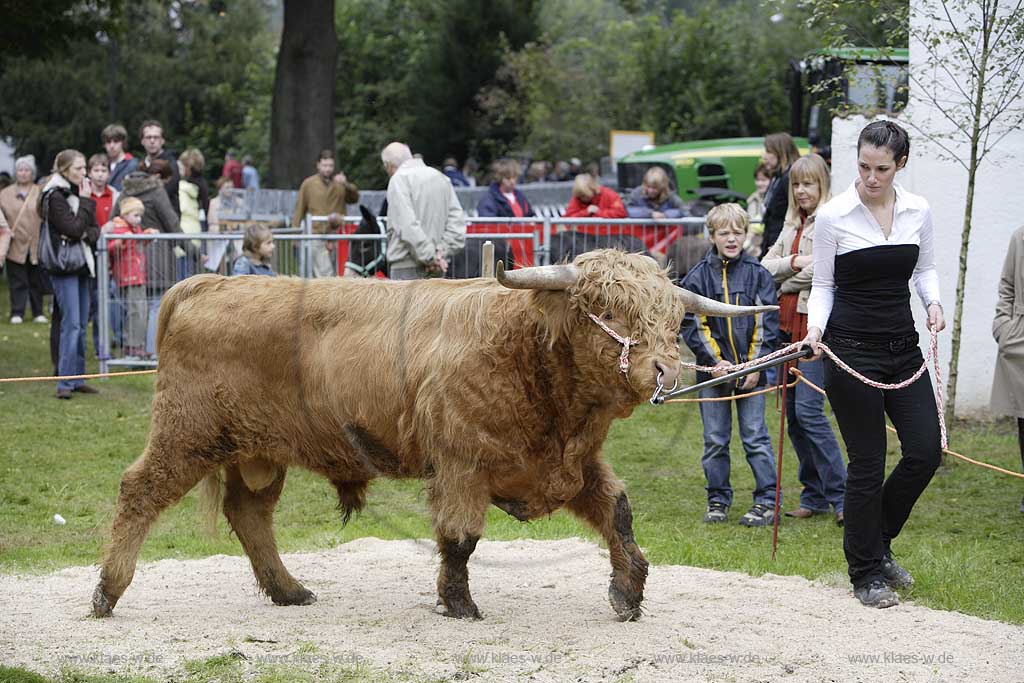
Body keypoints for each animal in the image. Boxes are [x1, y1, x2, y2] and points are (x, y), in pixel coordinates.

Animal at [92, 249, 770, 618]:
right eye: (604, 308)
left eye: (673, 317)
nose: (667, 370)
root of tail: (205, 284)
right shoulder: (461, 465)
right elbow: (461, 539)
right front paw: (460, 603)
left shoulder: (572, 465)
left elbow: (619, 515)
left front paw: (628, 591)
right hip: (186, 434)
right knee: (138, 491)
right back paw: (107, 591)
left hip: (257, 451)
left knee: (249, 512)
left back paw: (290, 591)